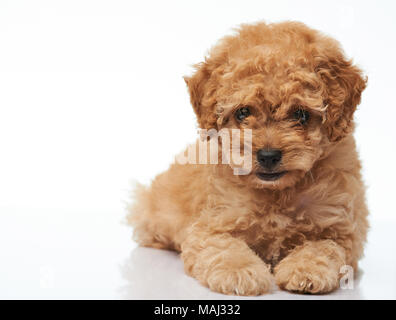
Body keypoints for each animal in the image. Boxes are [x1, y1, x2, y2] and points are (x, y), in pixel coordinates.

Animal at [128, 20, 370, 296]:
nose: (268, 155)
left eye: (300, 114)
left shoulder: (341, 228)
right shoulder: (211, 225)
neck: (276, 193)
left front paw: (306, 270)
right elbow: (224, 247)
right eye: (243, 112)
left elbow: (323, 248)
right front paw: (239, 272)